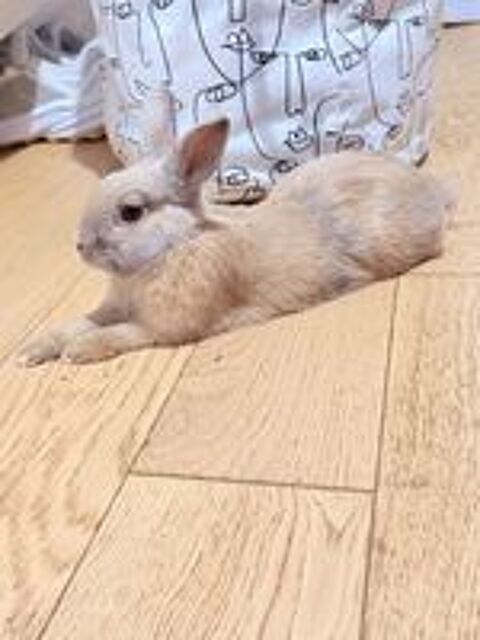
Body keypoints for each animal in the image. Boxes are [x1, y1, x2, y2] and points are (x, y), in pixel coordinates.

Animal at [18, 117, 454, 366]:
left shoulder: (166, 327)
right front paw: (31, 350)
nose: (80, 246)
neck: (174, 246)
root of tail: (432, 191)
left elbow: (121, 334)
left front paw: (79, 352)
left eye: (131, 212)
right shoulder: (114, 307)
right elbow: (80, 322)